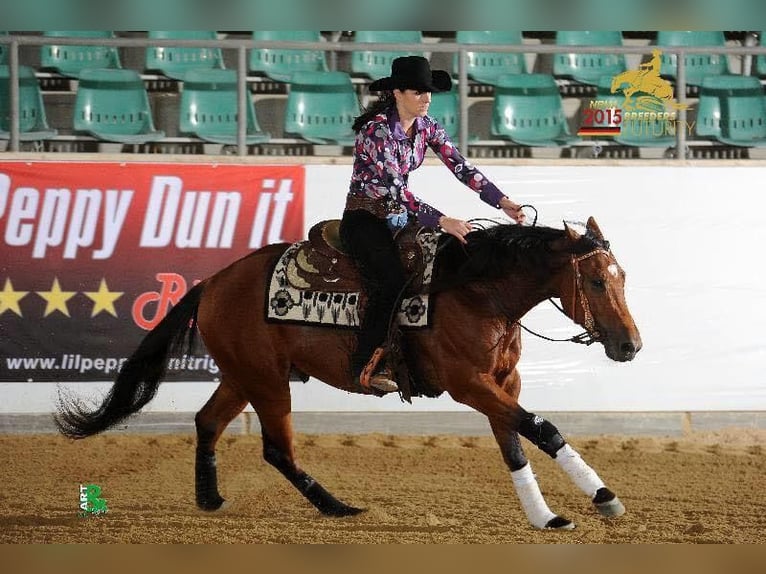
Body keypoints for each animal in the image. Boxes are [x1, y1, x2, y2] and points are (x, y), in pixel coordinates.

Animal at [55, 215, 642, 530]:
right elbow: (542, 428)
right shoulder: (468, 385)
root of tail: (214, 282)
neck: (475, 290)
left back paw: (210, 498)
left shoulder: (502, 384)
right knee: (276, 449)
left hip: (244, 375)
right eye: (594, 281)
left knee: (208, 422)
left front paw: (545, 516)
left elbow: (516, 444)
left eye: (622, 277)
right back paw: (337, 507)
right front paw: (605, 497)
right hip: (267, 382)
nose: (630, 345)